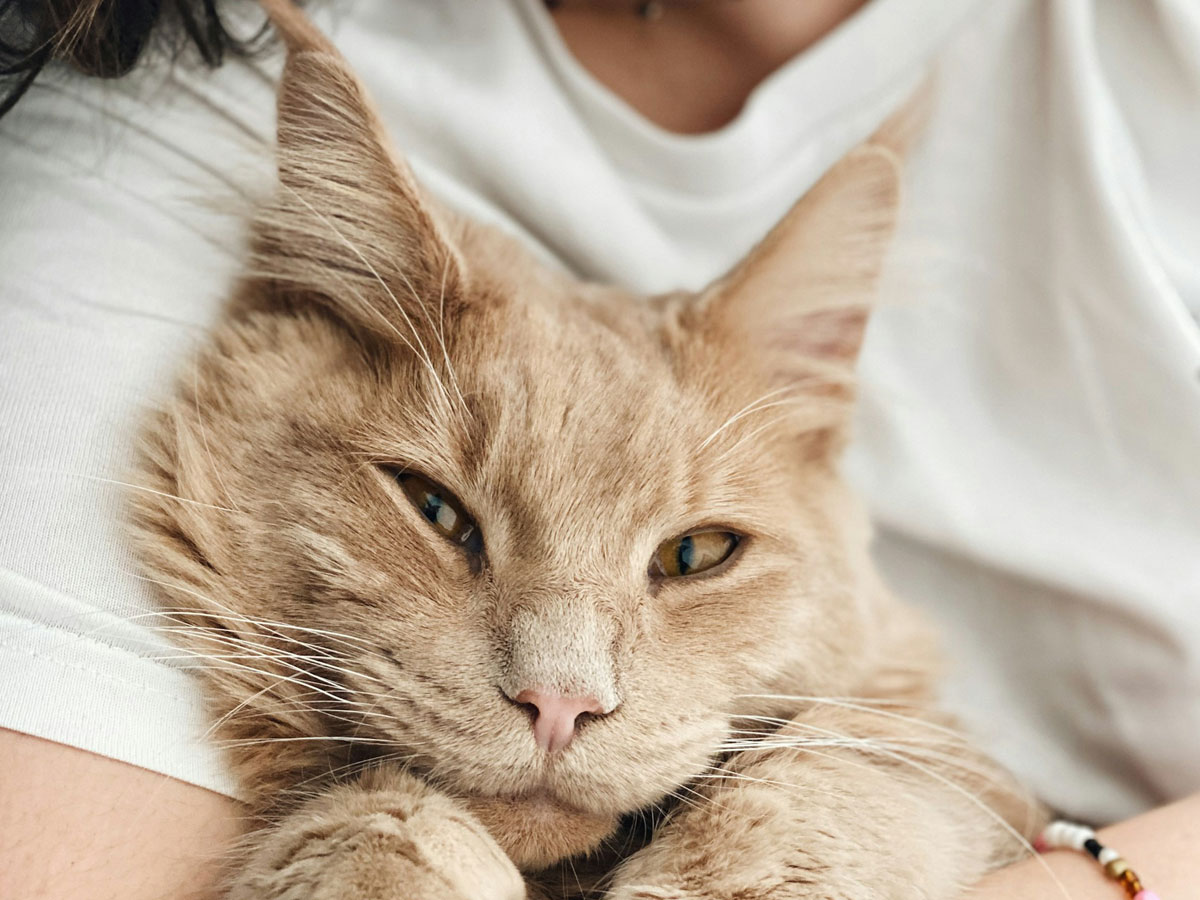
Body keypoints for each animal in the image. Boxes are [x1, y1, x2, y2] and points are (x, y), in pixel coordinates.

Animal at [133, 1, 1041, 900]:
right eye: (435, 509)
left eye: (695, 553)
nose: (558, 706)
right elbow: (375, 813)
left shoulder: (947, 768)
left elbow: (840, 773)